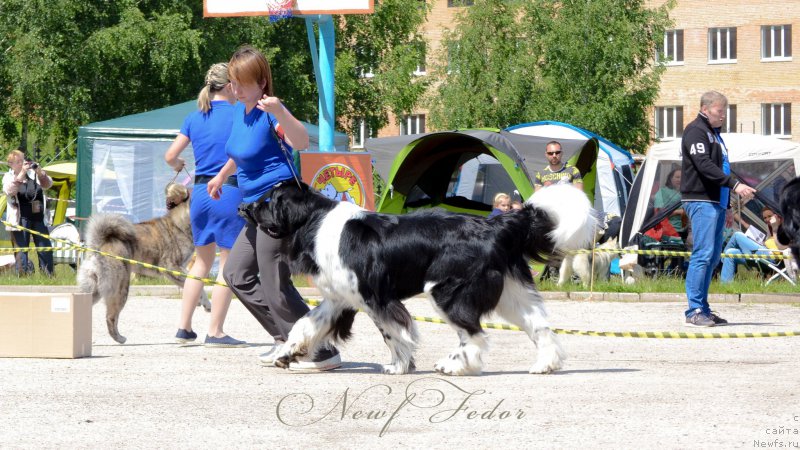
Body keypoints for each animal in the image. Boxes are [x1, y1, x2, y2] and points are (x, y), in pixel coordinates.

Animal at [78, 184, 206, 344]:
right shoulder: (172, 267)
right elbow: (200, 286)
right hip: (121, 289)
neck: (180, 223)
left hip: (93, 290)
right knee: (111, 317)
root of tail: (98, 246)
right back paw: (120, 338)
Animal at [253, 181, 596, 374]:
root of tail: (494, 225)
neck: (316, 221)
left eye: (270, 200)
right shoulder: (339, 298)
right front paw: (286, 354)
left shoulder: (375, 298)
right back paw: (545, 365)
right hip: (512, 293)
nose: (247, 205)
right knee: (540, 327)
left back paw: (456, 366)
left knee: (474, 334)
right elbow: (305, 325)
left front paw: (399, 366)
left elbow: (392, 333)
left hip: (447, 291)